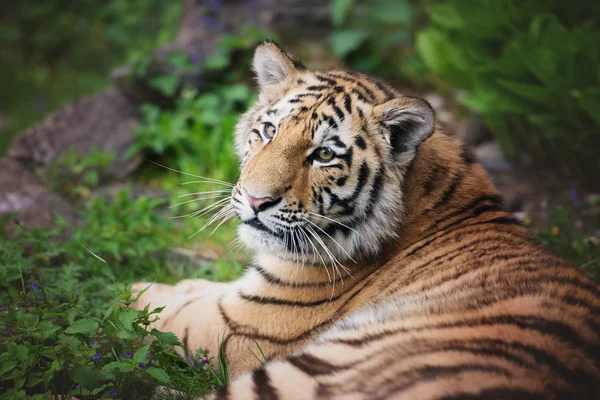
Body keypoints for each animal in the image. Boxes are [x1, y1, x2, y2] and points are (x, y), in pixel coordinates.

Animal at [134, 42, 600, 398]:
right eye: (268, 132)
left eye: (323, 154)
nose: (255, 199)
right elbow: (196, 289)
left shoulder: (242, 326)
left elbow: (173, 313)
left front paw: (135, 290)